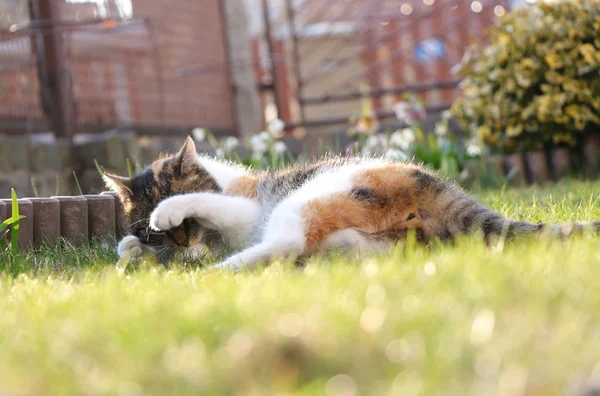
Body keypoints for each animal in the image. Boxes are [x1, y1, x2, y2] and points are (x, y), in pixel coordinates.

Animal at [104, 135, 600, 270]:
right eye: (153, 235)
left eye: (185, 226)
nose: (182, 244)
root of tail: (433, 181)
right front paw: (132, 250)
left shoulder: (244, 210)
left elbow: (203, 200)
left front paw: (171, 210)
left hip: (309, 195)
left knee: (286, 243)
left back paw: (220, 272)